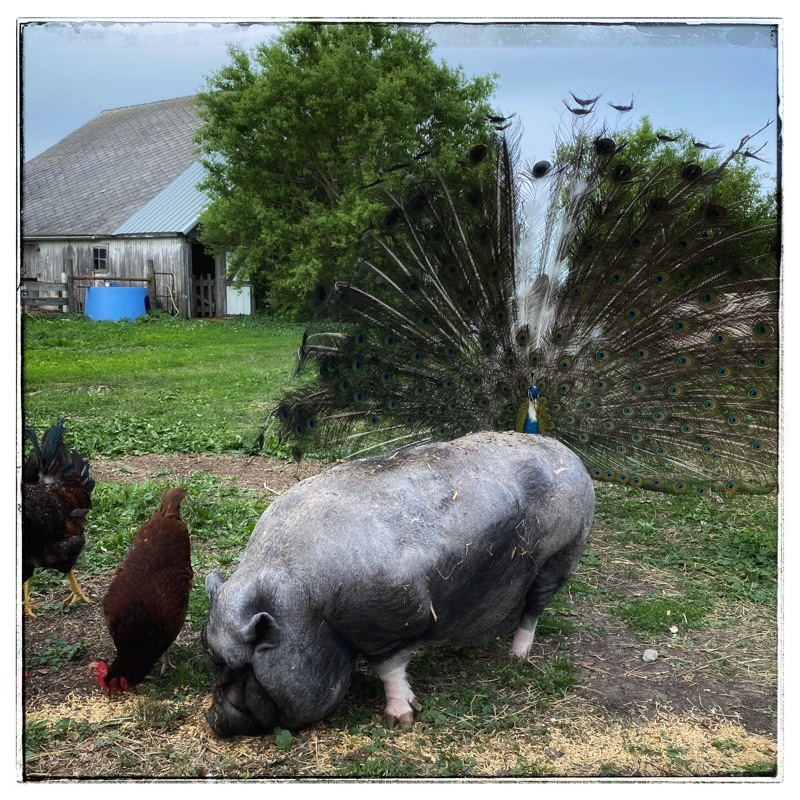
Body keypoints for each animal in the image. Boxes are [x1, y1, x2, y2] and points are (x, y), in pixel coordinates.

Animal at [202, 430, 594, 736]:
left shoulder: (396, 618)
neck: (307, 606)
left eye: (246, 669)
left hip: (564, 553)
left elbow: (389, 669)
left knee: (535, 606)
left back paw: (517, 656)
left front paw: (400, 721)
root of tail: (569, 454)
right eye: (214, 662)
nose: (210, 717)